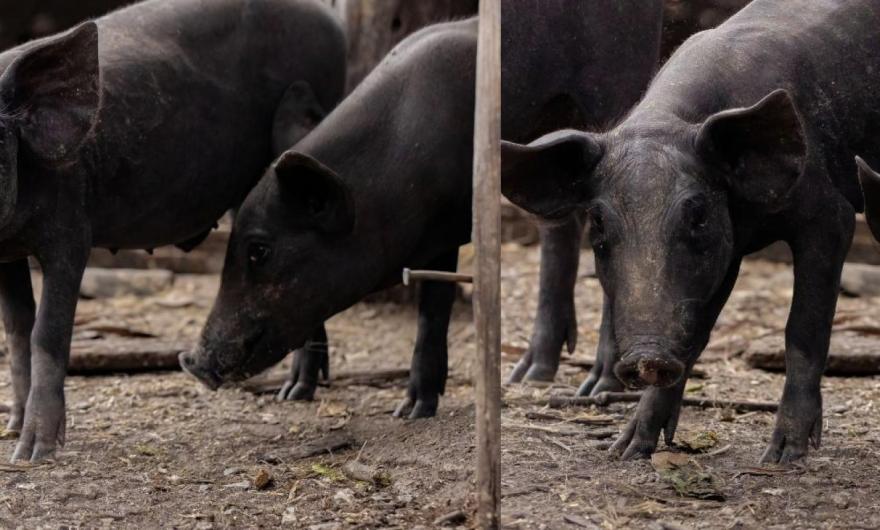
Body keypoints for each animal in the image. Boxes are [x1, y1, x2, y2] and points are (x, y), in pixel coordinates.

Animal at [0, 0, 348, 460]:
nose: (24, 442)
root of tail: (331, 21)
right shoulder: (7, 250)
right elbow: (17, 328)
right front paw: (11, 432)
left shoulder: (71, 227)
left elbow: (47, 331)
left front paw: (34, 454)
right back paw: (294, 392)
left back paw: (294, 394)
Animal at [502, 0, 880, 460]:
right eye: (599, 221)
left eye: (697, 213)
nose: (647, 357)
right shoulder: (726, 252)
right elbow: (696, 333)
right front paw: (627, 449)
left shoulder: (829, 215)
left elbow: (802, 329)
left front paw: (782, 456)